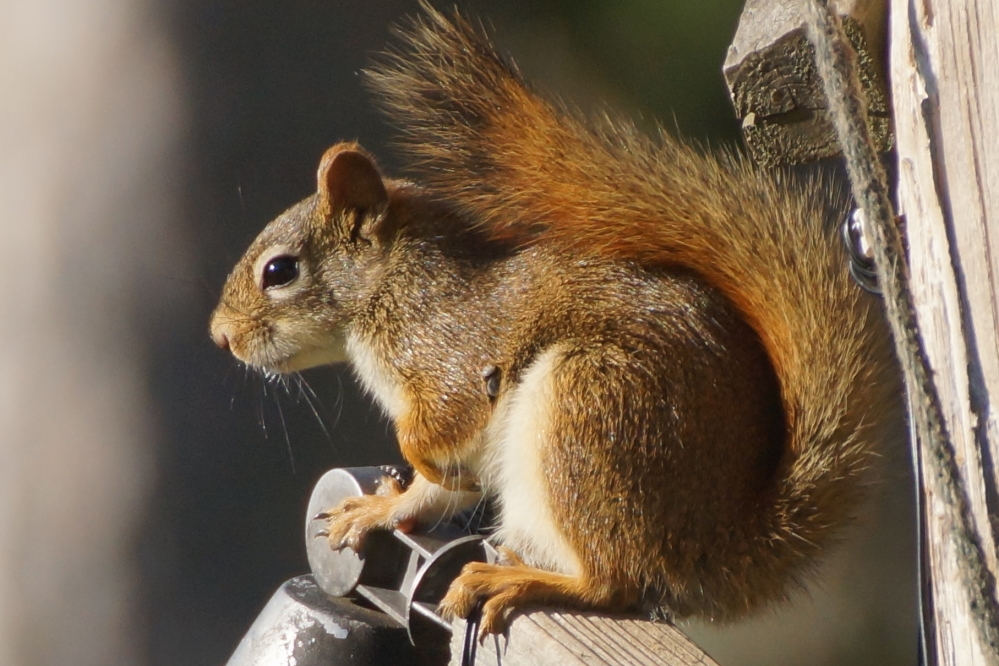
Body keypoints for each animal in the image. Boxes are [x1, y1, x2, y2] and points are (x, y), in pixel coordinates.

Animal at [210, 7, 900, 636]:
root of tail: (710, 549)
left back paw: (513, 580)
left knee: (612, 584)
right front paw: (382, 509)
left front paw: (409, 463)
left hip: (589, 415)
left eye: (279, 271)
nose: (222, 336)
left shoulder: (450, 356)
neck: (392, 288)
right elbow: (438, 494)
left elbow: (440, 430)